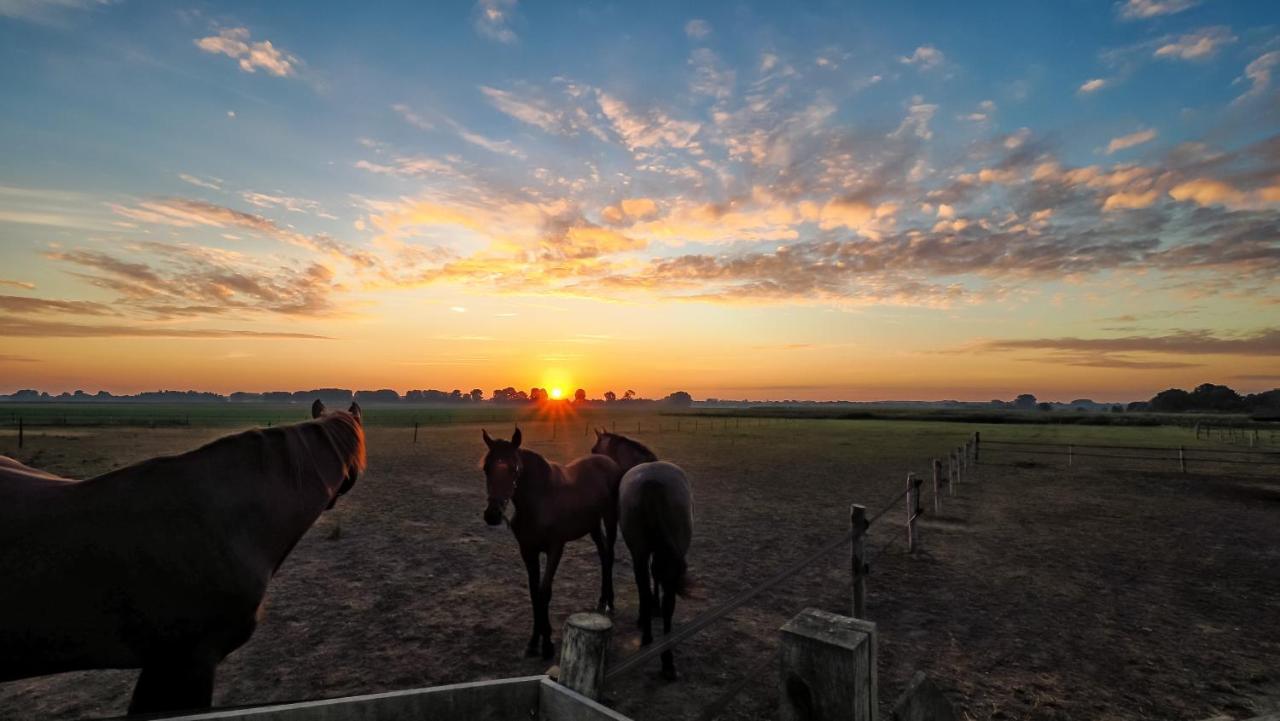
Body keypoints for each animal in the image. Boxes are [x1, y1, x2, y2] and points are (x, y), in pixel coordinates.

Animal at [481, 427, 619, 660]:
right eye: (486, 468)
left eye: (514, 468)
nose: (493, 514)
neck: (540, 500)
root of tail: (609, 461)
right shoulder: (528, 551)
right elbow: (534, 593)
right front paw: (534, 642)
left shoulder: (555, 549)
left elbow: (545, 592)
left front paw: (547, 645)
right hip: (592, 525)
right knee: (603, 556)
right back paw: (602, 600)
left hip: (610, 520)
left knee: (609, 555)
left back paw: (610, 601)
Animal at [586, 432, 691, 681]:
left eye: (595, 450)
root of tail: (652, 484)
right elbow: (657, 576)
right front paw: (654, 607)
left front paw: (647, 610)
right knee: (668, 597)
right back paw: (666, 660)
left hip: (639, 552)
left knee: (642, 583)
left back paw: (647, 635)